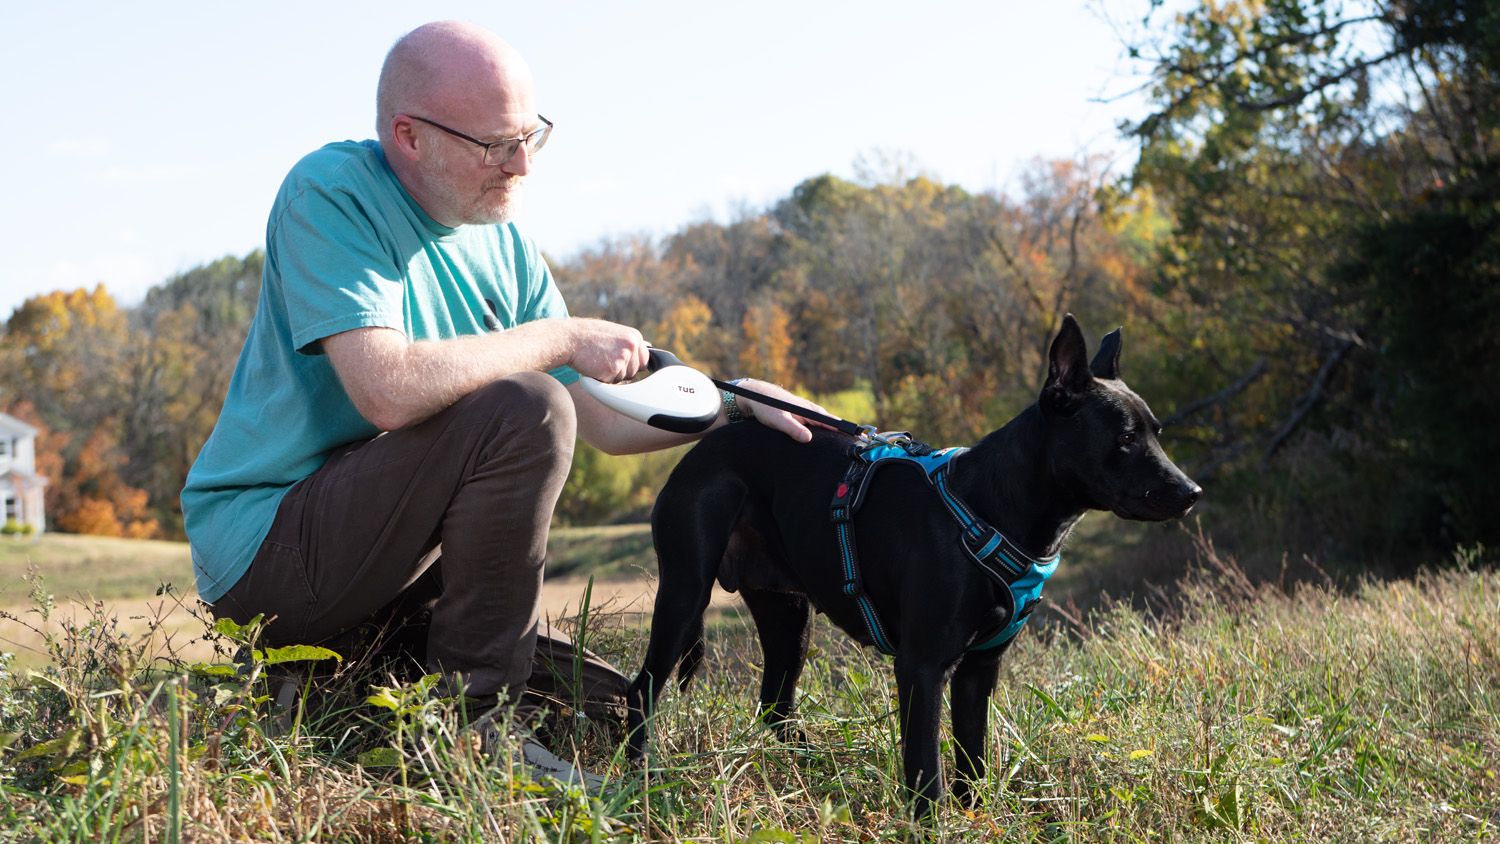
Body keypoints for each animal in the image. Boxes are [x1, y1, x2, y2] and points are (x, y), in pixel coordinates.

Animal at [627, 317, 1200, 821]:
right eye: (1125, 438)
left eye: (1156, 431)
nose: (1192, 492)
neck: (993, 508)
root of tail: (704, 446)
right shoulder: (922, 668)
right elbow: (927, 771)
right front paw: (931, 826)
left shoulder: (978, 670)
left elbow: (972, 761)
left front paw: (976, 820)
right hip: (685, 593)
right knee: (643, 690)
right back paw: (640, 783)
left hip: (789, 614)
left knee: (775, 704)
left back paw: (812, 773)